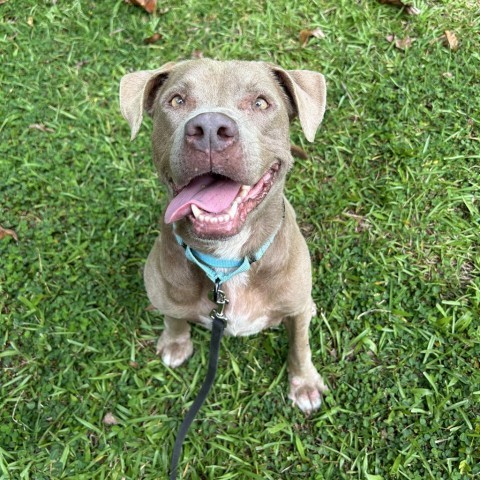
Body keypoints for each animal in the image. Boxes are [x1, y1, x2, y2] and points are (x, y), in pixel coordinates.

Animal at [119, 59, 328, 412]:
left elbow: (300, 343)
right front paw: (175, 342)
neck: (225, 263)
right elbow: (173, 316)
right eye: (176, 100)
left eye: (260, 103)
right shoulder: (162, 289)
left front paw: (304, 383)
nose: (209, 129)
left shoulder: (295, 308)